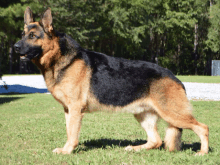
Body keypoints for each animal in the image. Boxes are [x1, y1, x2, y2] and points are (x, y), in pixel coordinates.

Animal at [14, 6, 209, 156]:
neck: (60, 58)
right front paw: (67, 149)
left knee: (203, 128)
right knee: (156, 140)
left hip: (173, 114)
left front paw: (67, 151)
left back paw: (203, 152)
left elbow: (72, 134)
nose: (14, 47)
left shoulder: (75, 110)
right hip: (143, 115)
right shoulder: (68, 110)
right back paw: (135, 149)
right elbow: (69, 131)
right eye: (22, 34)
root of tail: (175, 78)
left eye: (32, 36)